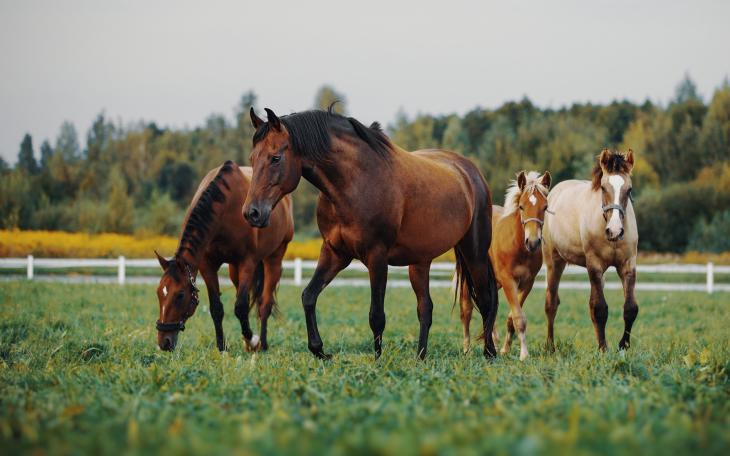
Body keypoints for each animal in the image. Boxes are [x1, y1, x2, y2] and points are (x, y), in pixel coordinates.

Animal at [154, 160, 294, 352]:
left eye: (180, 295)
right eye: (159, 292)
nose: (164, 342)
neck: (226, 208)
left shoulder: (247, 263)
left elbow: (240, 307)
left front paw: (253, 340)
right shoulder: (207, 265)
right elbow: (217, 308)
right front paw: (222, 346)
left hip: (274, 258)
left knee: (265, 304)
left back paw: (262, 344)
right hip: (234, 269)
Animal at [243, 107, 499, 360]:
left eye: (275, 158)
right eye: (252, 159)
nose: (251, 213)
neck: (355, 182)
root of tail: (470, 171)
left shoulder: (377, 257)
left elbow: (376, 315)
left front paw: (377, 360)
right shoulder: (334, 252)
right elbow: (308, 296)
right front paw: (319, 350)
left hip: (474, 252)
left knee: (485, 300)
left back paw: (490, 352)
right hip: (420, 261)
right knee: (425, 308)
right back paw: (420, 357)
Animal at [460, 170, 551, 360]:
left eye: (545, 207)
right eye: (522, 206)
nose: (533, 242)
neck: (518, 246)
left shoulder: (527, 283)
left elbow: (511, 318)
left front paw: (505, 349)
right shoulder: (509, 281)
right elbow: (519, 318)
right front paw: (524, 354)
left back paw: (493, 343)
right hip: (468, 279)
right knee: (466, 311)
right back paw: (467, 349)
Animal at [542, 149, 638, 352]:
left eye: (629, 189)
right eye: (603, 187)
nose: (615, 231)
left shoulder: (628, 265)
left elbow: (630, 308)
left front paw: (623, 346)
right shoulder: (594, 265)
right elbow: (600, 308)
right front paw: (603, 349)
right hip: (554, 262)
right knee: (551, 303)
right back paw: (550, 346)